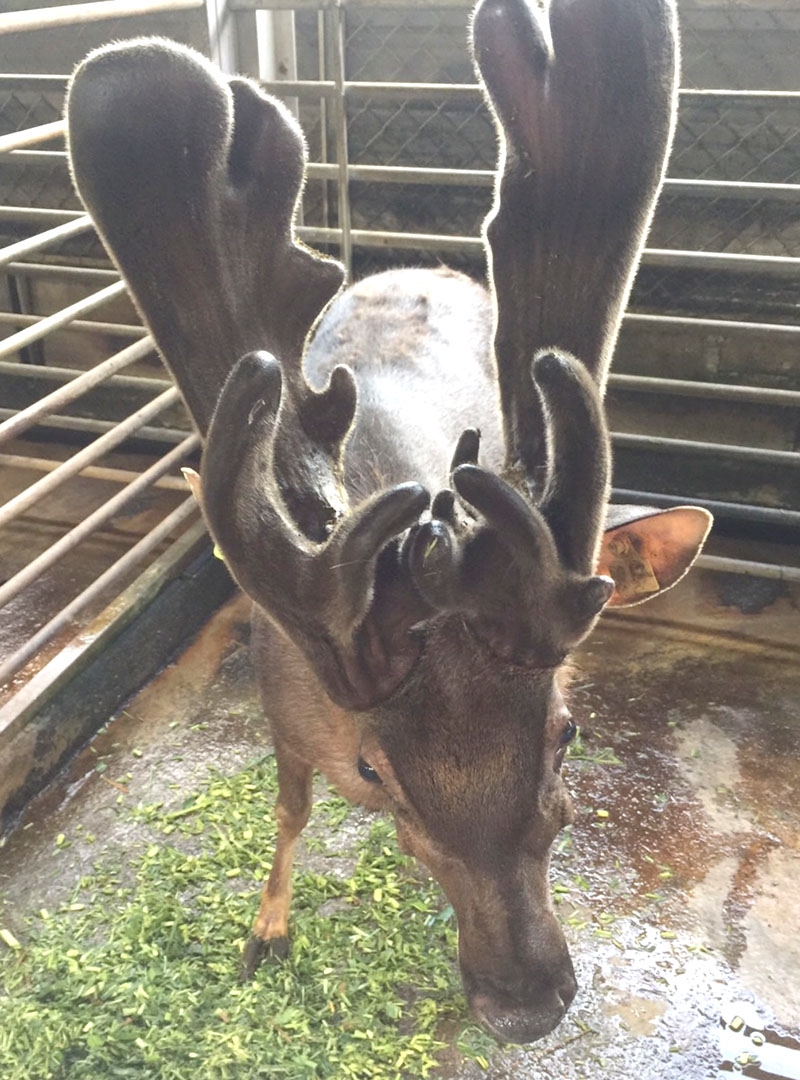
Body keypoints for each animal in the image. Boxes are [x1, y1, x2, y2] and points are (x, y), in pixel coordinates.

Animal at [65, 0, 708, 1041]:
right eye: (375, 769)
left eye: (567, 732)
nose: (525, 1000)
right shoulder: (281, 707)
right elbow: (288, 812)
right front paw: (266, 933)